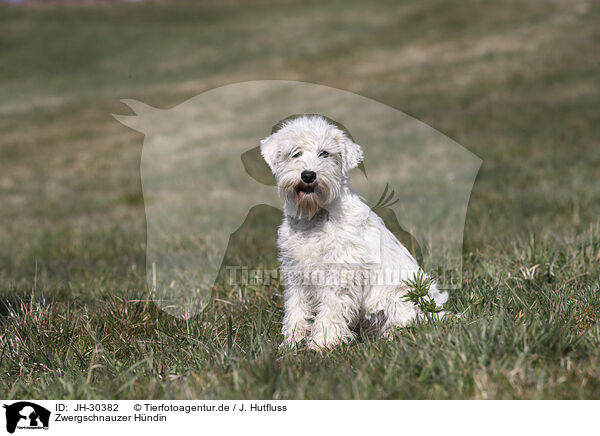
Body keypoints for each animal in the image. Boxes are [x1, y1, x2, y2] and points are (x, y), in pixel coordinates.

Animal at [260, 114, 448, 350]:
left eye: (325, 153)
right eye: (295, 152)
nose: (309, 175)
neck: (315, 217)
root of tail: (441, 312)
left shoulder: (340, 273)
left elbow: (330, 310)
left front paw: (322, 344)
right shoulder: (297, 274)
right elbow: (296, 309)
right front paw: (292, 342)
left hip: (402, 296)